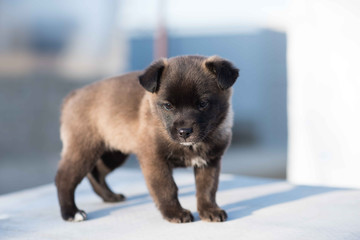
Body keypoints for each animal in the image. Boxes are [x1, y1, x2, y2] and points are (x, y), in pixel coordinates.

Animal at [55, 54, 239, 223]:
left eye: (203, 104)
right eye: (168, 106)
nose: (184, 132)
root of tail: (73, 95)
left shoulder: (209, 161)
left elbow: (207, 188)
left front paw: (209, 210)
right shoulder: (154, 159)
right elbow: (167, 187)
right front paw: (175, 213)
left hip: (114, 153)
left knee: (96, 173)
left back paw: (110, 196)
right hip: (83, 149)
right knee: (64, 178)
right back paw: (71, 212)